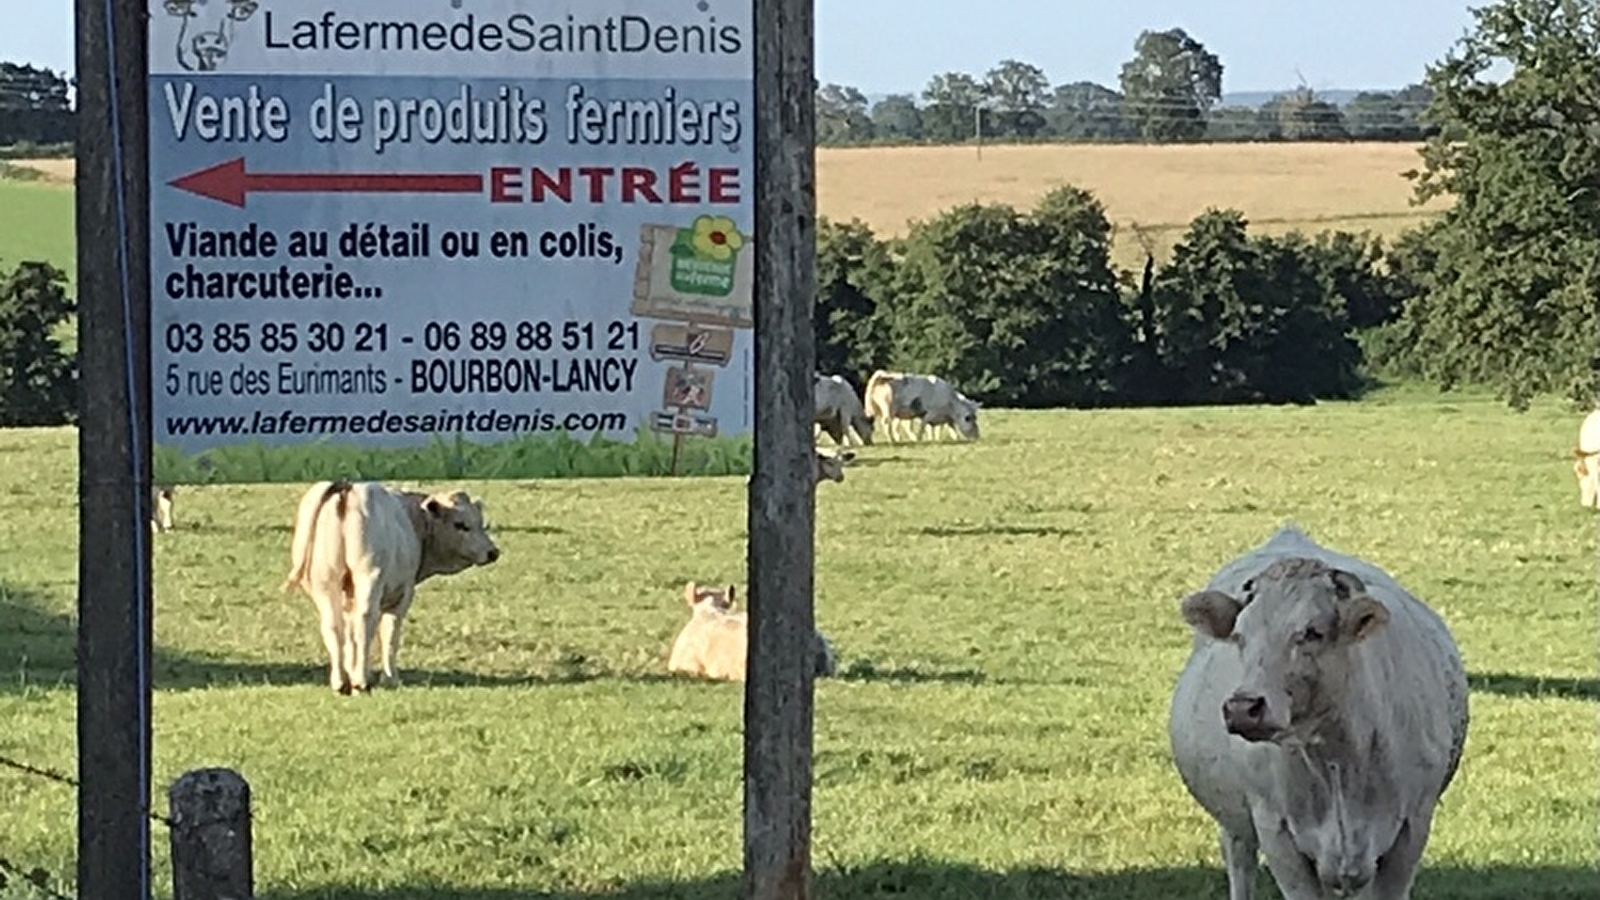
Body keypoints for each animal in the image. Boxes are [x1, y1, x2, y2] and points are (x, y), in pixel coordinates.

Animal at [278, 480, 496, 688]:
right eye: (460, 525)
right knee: (365, 620)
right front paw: (389, 678)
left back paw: (341, 681)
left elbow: (349, 632)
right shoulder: (403, 594)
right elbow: (390, 633)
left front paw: (352, 668)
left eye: (480, 523)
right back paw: (361, 681)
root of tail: (346, 487)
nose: (493, 552)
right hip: (368, 578)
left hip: (325, 582)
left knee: (333, 624)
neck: (414, 520)